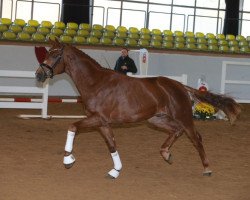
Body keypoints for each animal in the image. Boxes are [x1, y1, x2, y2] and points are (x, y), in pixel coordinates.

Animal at [35, 39, 240, 178]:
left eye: (55, 55)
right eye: (47, 53)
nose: (38, 75)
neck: (96, 83)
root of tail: (180, 86)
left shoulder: (97, 119)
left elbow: (72, 127)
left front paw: (68, 160)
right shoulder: (103, 123)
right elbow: (112, 145)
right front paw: (115, 171)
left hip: (184, 117)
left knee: (196, 138)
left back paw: (206, 168)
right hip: (156, 119)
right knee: (176, 131)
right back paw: (166, 154)